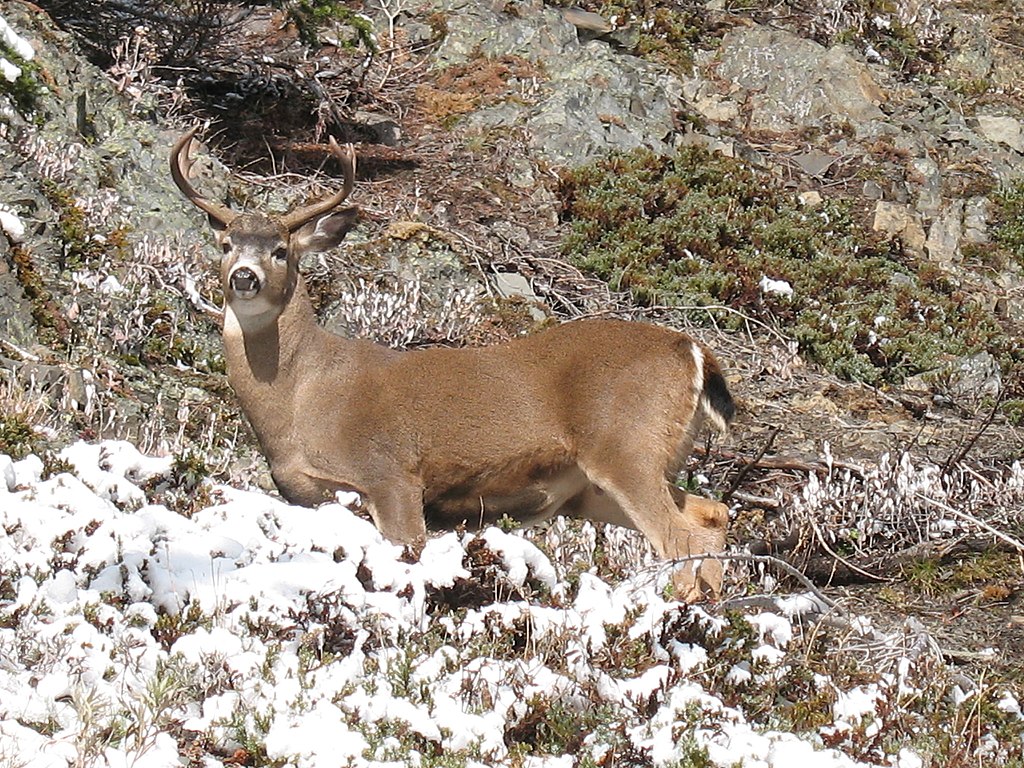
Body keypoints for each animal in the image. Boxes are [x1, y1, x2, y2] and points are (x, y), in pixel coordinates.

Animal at [169, 129, 737, 606]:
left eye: (281, 251)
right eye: (226, 245)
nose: (243, 277)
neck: (298, 397)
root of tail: (692, 351)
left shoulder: (391, 474)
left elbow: (409, 557)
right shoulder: (309, 495)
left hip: (624, 446)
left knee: (677, 537)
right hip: (602, 483)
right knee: (711, 513)